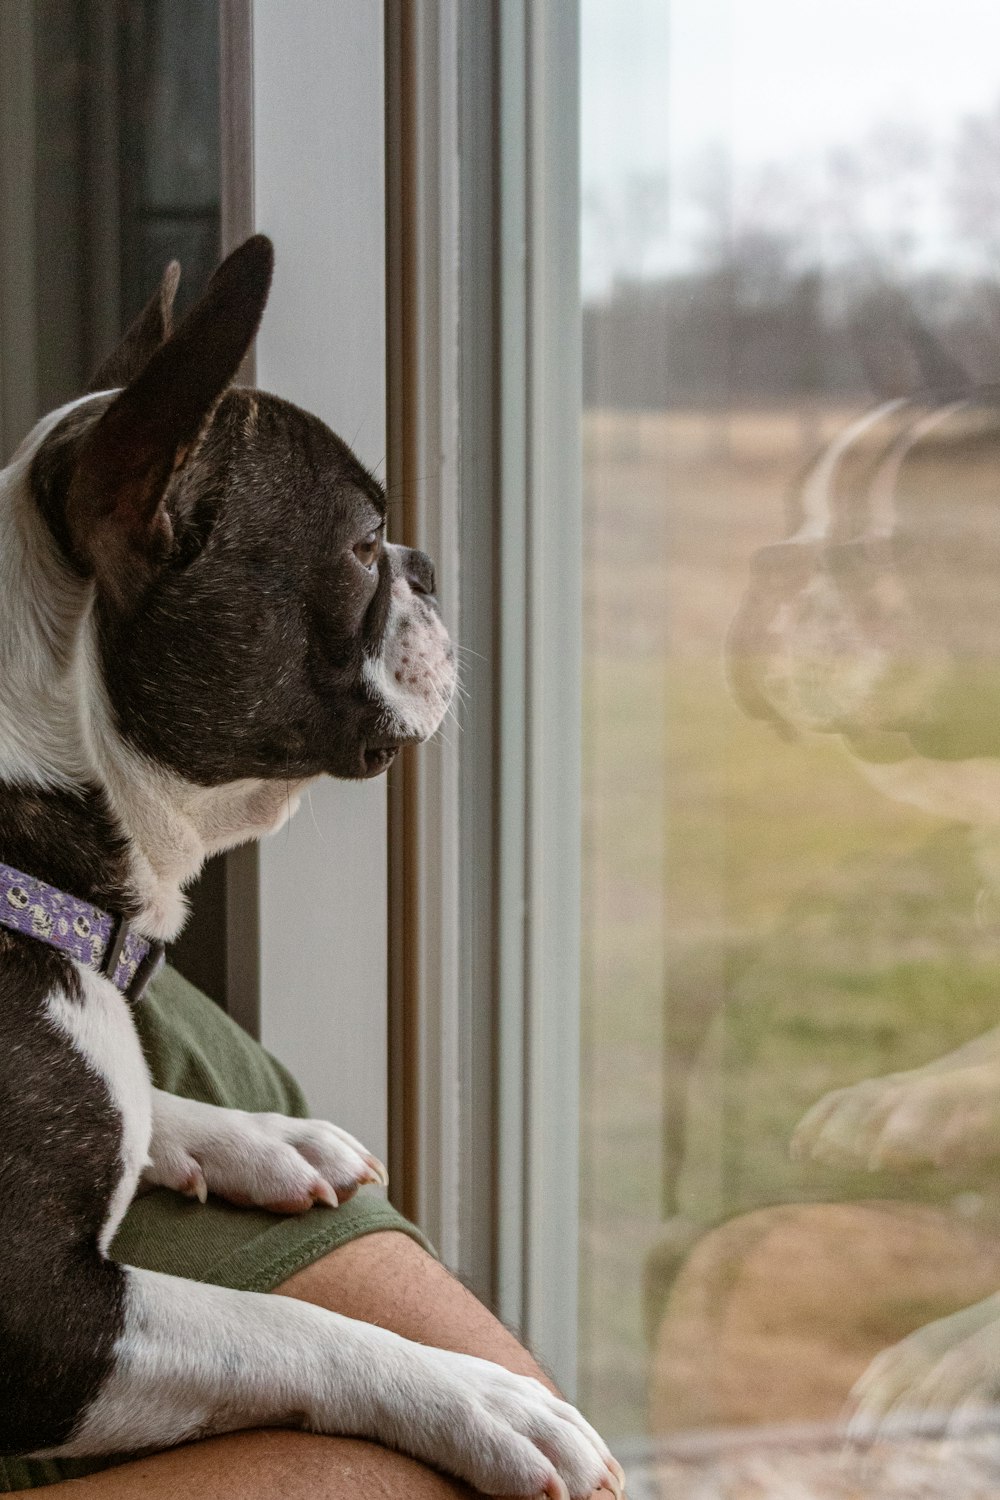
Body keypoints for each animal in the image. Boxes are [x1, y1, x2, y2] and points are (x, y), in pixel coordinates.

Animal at [0, 240, 620, 1494]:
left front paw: (257, 1139)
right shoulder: (36, 1321)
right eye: (361, 546)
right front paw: (477, 1398)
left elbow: (145, 1098)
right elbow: (284, 1325)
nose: (426, 566)